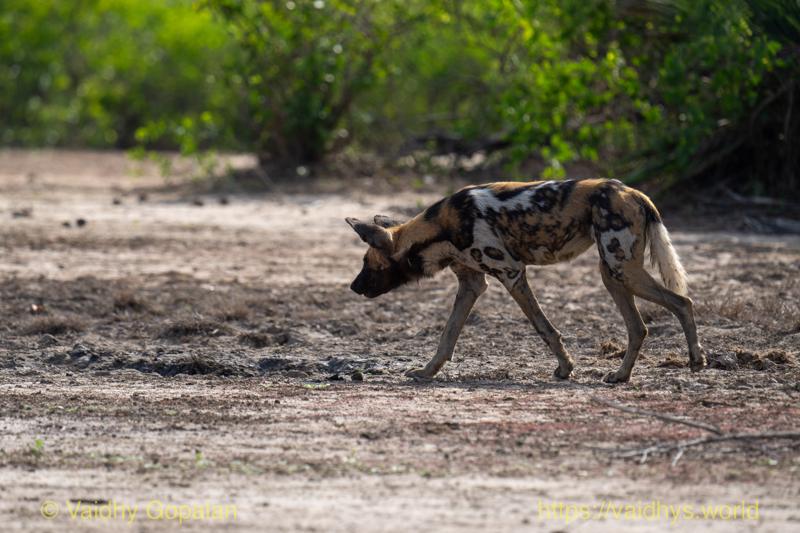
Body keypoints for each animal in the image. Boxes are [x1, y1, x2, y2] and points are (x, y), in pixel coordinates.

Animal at [346, 178, 704, 383]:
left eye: (367, 264)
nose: (353, 287)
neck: (440, 229)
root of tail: (634, 192)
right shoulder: (471, 285)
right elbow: (447, 338)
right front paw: (426, 372)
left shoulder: (512, 274)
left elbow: (544, 328)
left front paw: (565, 368)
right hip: (612, 273)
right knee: (639, 327)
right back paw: (620, 375)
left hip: (621, 268)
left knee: (683, 301)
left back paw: (696, 360)